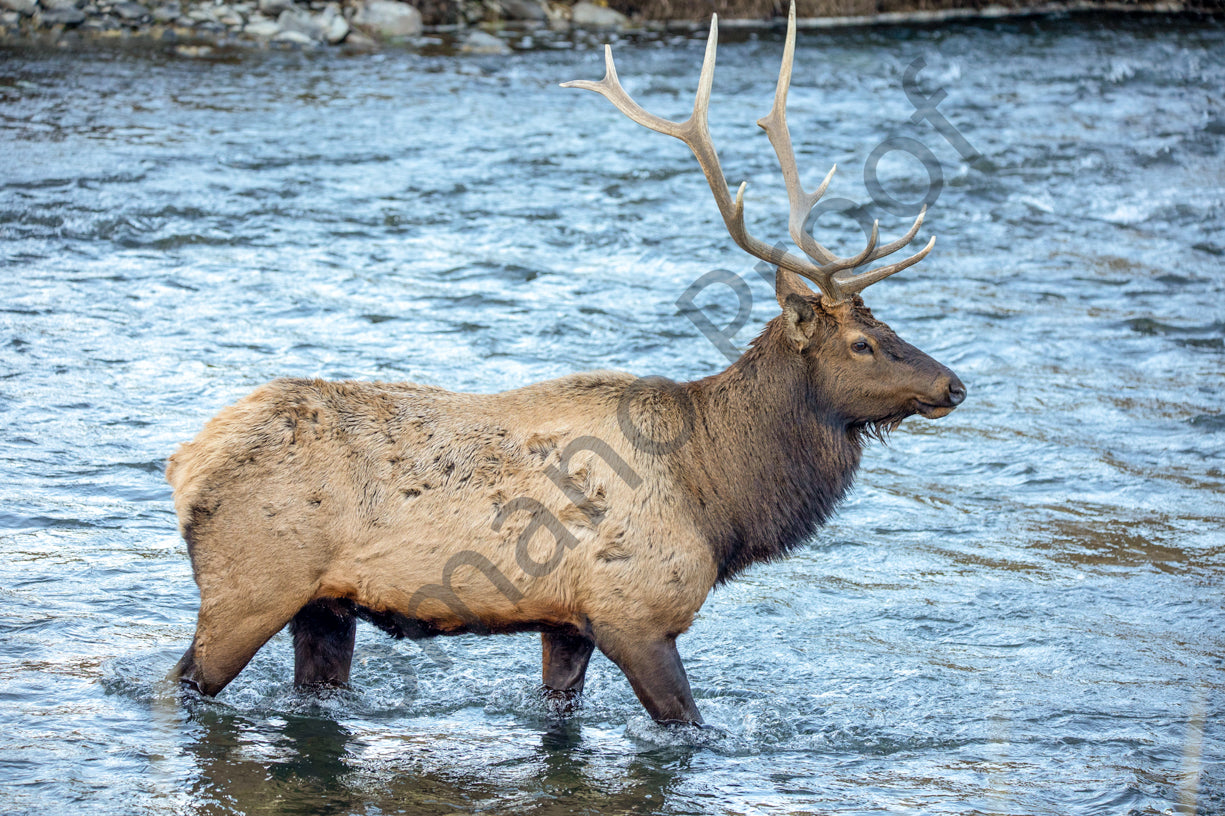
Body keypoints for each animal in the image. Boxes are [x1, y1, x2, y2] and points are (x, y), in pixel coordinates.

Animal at [167, 3, 965, 720]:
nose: (953, 385)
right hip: (250, 587)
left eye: (886, 325)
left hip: (323, 606)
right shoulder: (635, 611)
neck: (719, 500)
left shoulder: (566, 622)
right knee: (176, 683)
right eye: (861, 343)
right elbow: (688, 725)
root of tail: (185, 462)